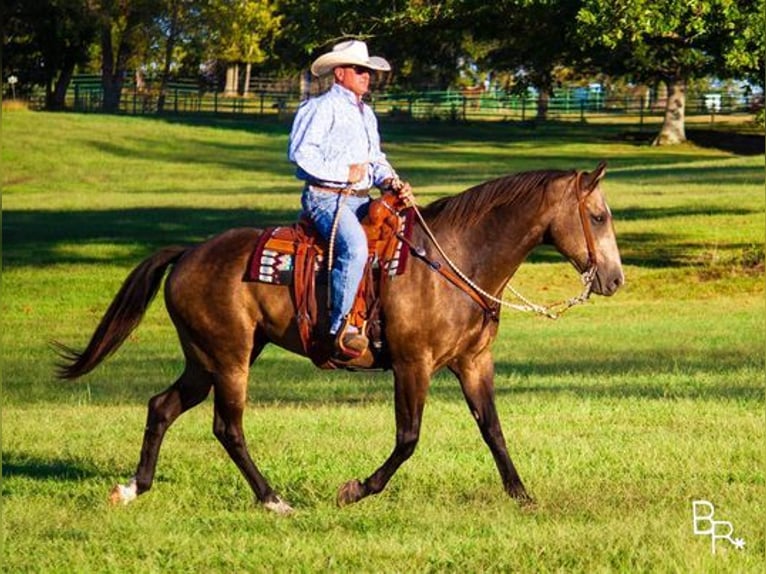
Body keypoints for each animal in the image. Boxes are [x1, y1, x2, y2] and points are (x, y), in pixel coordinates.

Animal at [58, 163, 624, 516]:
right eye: (598, 216)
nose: (615, 279)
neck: (455, 260)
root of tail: (188, 252)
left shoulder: (473, 362)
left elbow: (493, 431)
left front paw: (522, 496)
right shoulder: (413, 364)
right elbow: (408, 438)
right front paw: (356, 490)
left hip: (205, 360)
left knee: (163, 406)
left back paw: (134, 488)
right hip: (229, 357)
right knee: (227, 427)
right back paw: (273, 500)